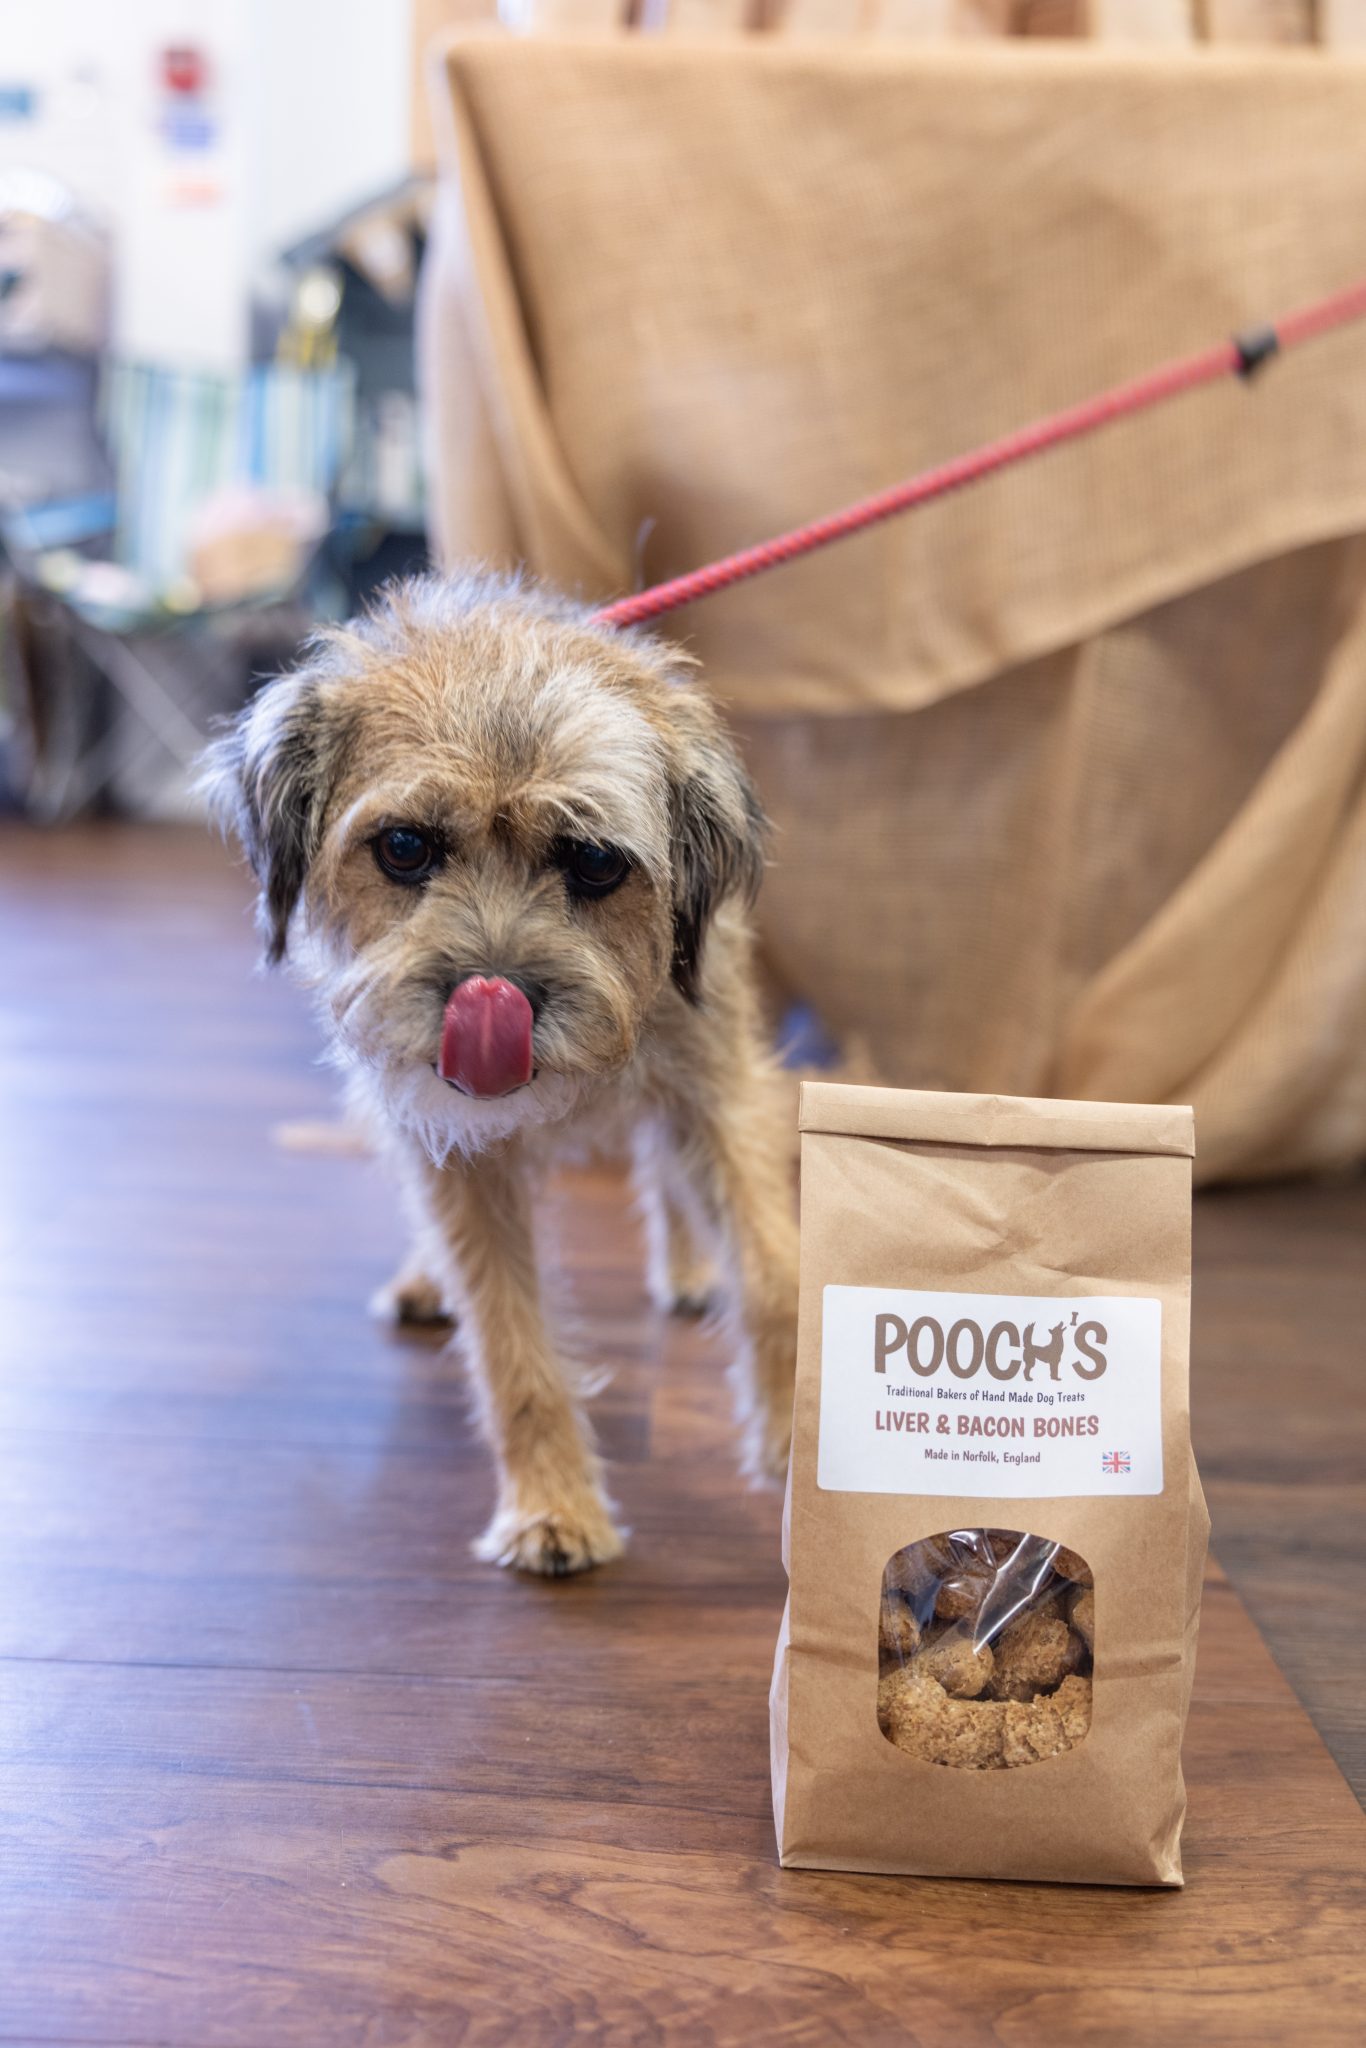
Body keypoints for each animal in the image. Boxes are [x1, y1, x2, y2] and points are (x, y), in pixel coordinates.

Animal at [202, 569, 802, 1572]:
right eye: (405, 848)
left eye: (594, 861)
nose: (492, 997)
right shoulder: (453, 1148)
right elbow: (509, 1338)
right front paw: (552, 1504)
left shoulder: (718, 1090)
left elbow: (773, 1276)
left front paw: (799, 1443)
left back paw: (687, 1267)